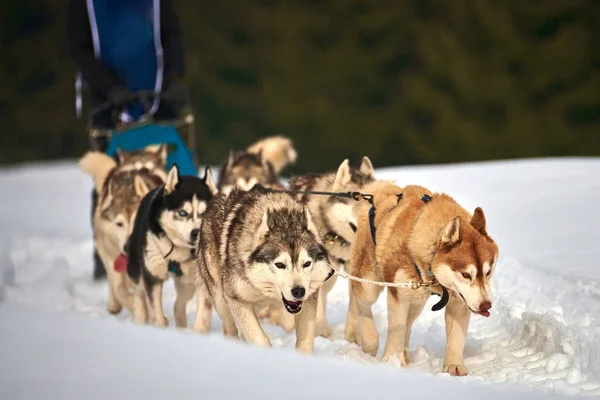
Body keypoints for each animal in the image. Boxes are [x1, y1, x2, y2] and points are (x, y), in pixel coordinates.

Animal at [79, 150, 166, 316]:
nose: (127, 247)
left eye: (138, 222)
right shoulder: (107, 251)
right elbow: (119, 287)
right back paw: (115, 305)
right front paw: (133, 305)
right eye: (119, 224)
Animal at [126, 164, 218, 330]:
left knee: (179, 304)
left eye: (204, 213)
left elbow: (202, 314)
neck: (179, 252)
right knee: (139, 294)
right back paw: (140, 319)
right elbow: (155, 309)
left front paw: (199, 332)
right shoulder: (153, 275)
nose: (196, 233)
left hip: (187, 283)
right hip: (138, 269)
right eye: (182, 212)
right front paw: (159, 326)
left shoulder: (203, 280)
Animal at [195, 186, 332, 352]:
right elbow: (259, 338)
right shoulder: (236, 299)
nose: (298, 291)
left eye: (306, 264)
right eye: (280, 265)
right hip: (221, 301)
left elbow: (304, 340)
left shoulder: (308, 300)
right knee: (230, 329)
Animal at [344, 180, 500, 376]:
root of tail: (381, 192)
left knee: (408, 323)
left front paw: (454, 366)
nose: (486, 305)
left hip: (417, 300)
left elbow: (456, 338)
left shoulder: (459, 302)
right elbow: (397, 329)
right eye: (465, 274)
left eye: (488, 272)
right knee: (360, 302)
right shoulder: (398, 296)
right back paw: (368, 340)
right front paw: (392, 361)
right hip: (369, 286)